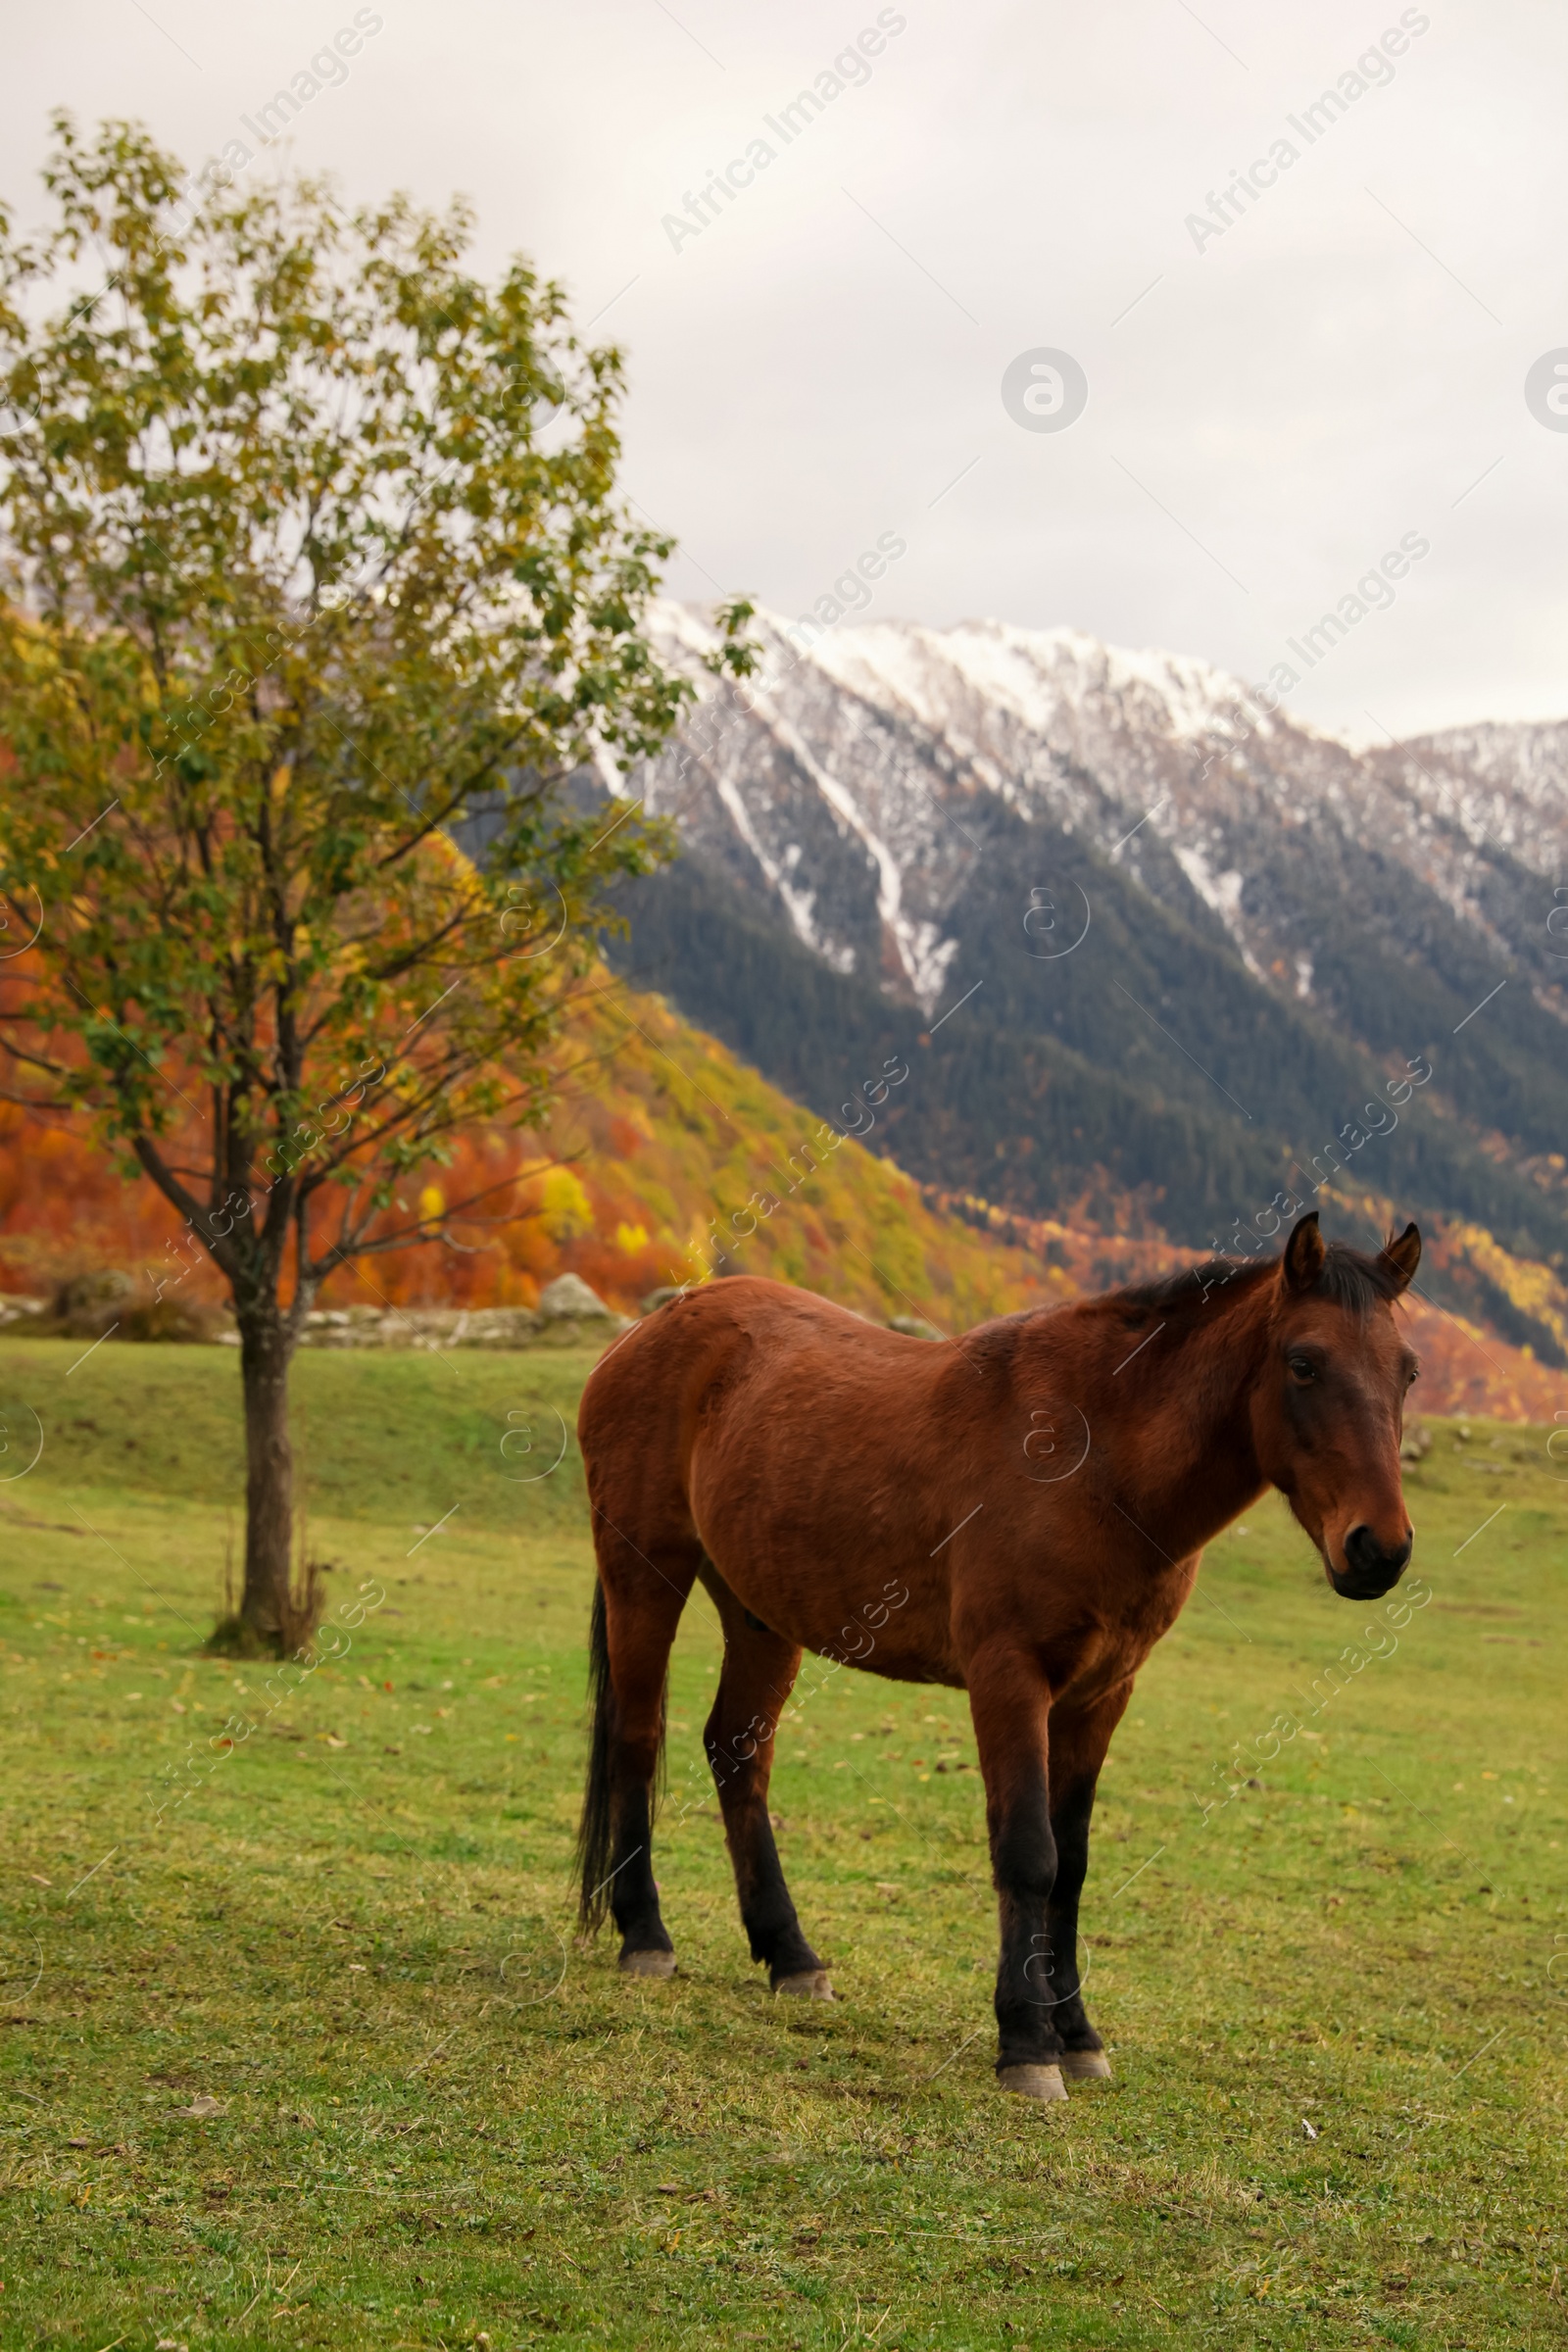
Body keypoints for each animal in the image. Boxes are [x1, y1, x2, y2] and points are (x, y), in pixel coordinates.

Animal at [575, 1213, 1419, 2097]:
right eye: (1304, 1362)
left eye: (1408, 1371)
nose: (1380, 1549)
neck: (1091, 1456)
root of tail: (651, 1329)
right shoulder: (1009, 1679)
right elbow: (1027, 1854)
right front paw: (1027, 2043)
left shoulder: (1099, 1696)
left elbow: (1071, 1865)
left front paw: (1076, 2034)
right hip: (646, 1577)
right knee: (637, 1737)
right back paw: (646, 1936)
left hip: (759, 1615)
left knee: (738, 1751)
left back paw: (790, 1954)